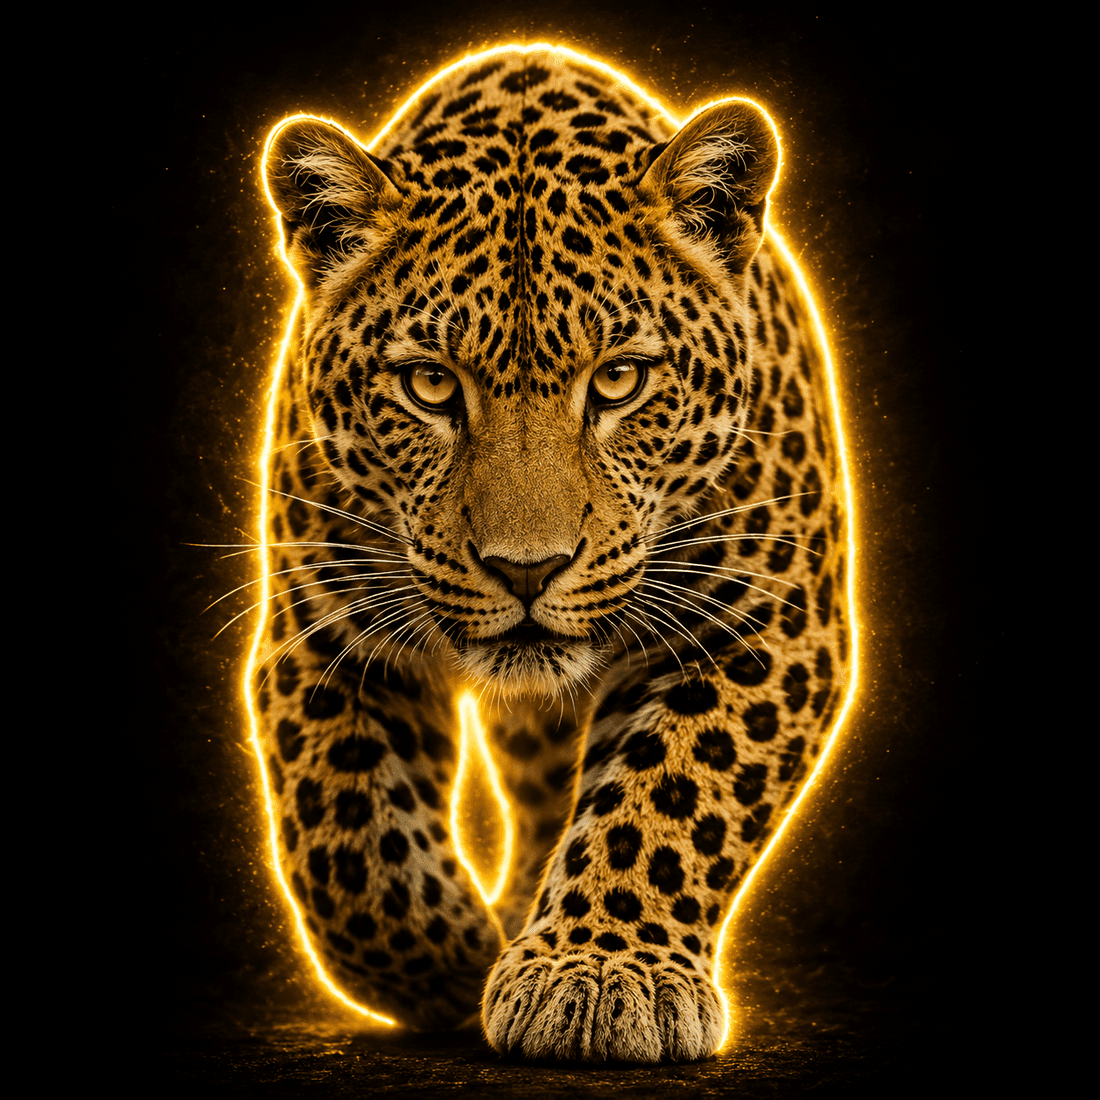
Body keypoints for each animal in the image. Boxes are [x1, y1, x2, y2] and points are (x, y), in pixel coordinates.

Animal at [252, 44, 852, 1063]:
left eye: (619, 381)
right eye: (429, 384)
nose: (525, 569)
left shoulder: (770, 622)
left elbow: (672, 791)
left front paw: (603, 974)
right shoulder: (321, 631)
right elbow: (347, 835)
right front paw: (453, 964)